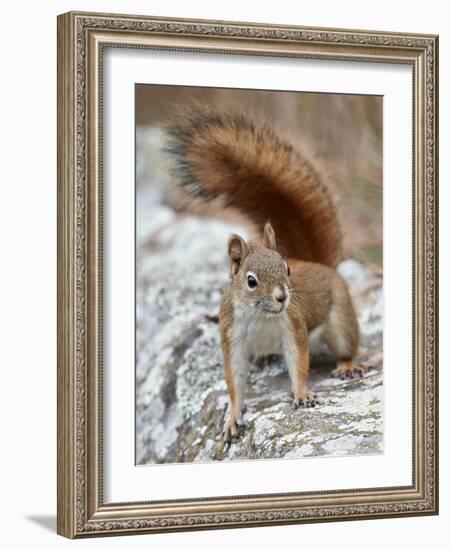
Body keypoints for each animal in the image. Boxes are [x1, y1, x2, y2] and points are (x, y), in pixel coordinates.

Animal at [162, 108, 362, 448]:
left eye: (287, 270)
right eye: (251, 281)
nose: (283, 297)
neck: (261, 318)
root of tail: (319, 264)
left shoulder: (293, 327)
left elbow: (298, 362)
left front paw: (302, 394)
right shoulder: (232, 338)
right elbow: (234, 380)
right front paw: (232, 418)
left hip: (340, 320)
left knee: (346, 343)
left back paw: (347, 365)